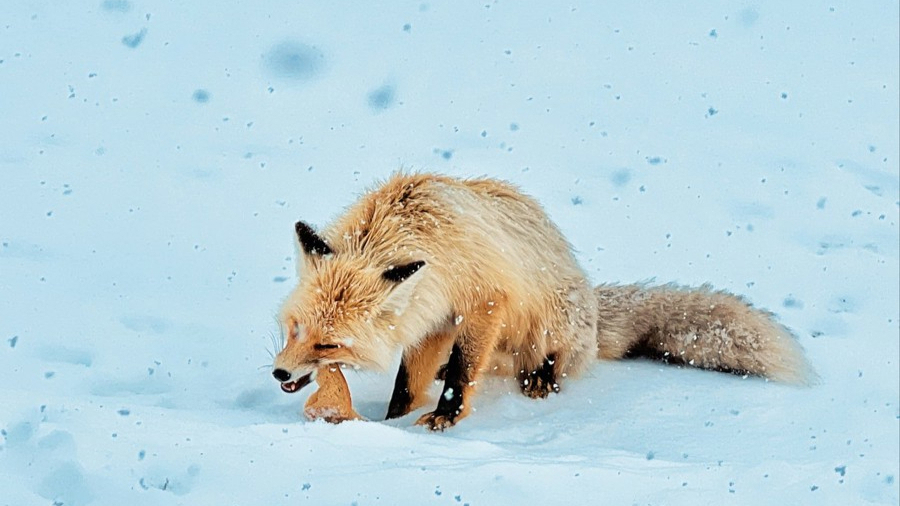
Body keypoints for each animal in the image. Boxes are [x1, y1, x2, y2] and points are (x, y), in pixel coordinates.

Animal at [270, 172, 812, 428]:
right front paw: (394, 421)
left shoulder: (483, 301)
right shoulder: (432, 317)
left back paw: (541, 379)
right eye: (295, 330)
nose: (278, 373)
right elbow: (409, 381)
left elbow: (464, 370)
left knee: (548, 362)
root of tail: (592, 302)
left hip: (551, 325)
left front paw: (446, 417)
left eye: (329, 346)